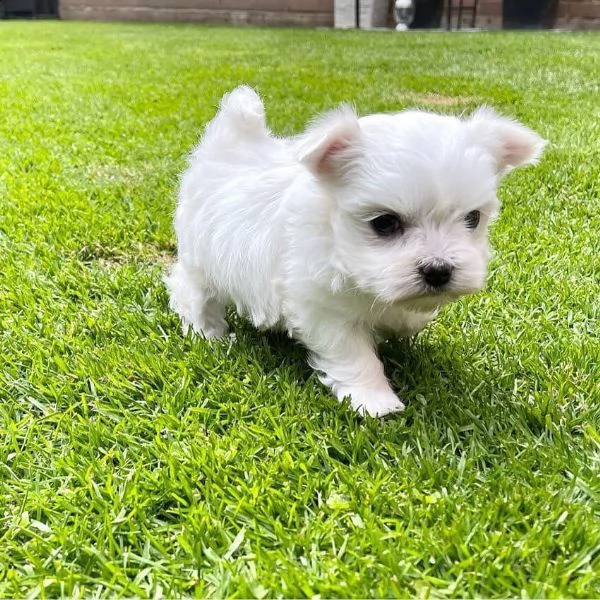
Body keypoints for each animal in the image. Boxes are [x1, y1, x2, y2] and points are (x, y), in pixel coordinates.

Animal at [166, 86, 548, 418]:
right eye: (384, 223)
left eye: (473, 219)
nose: (439, 270)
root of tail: (227, 149)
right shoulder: (322, 309)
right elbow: (354, 354)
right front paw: (376, 401)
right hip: (199, 257)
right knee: (190, 289)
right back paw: (208, 331)